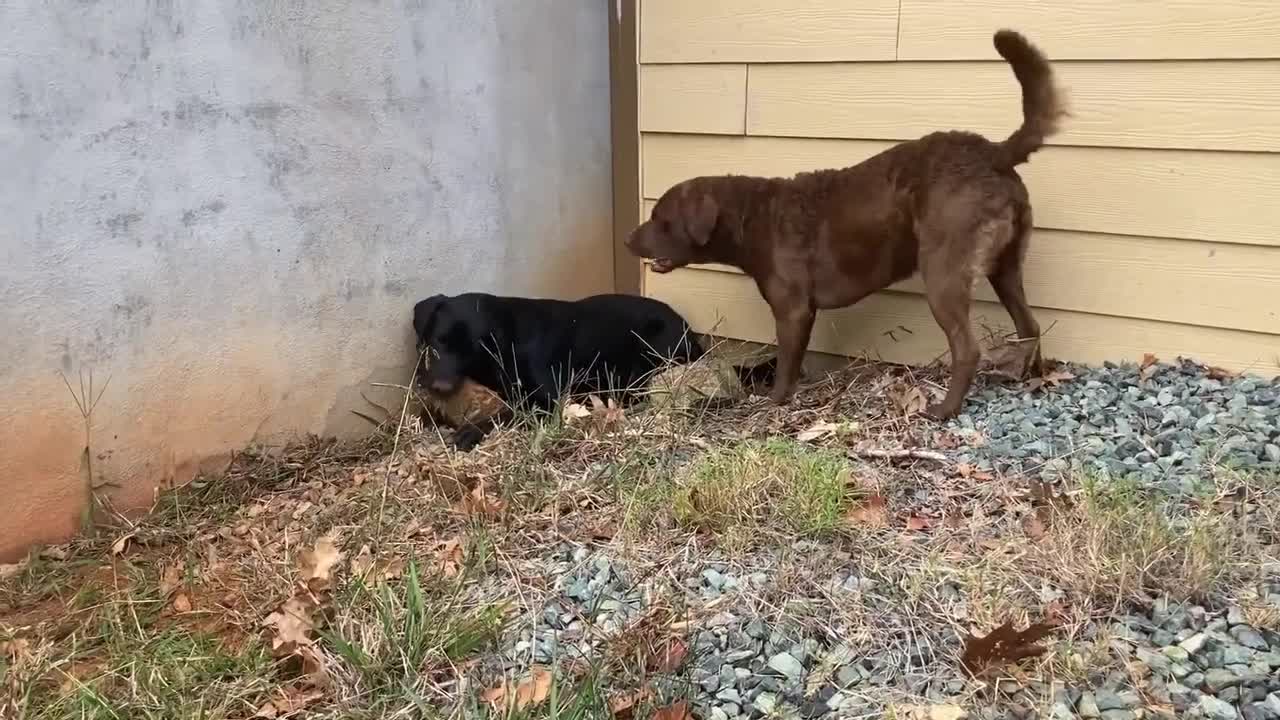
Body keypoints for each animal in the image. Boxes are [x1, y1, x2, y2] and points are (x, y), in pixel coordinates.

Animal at [412, 292, 768, 448]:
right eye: (438, 341)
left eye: (470, 348)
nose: (439, 386)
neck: (508, 338)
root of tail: (692, 335)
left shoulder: (547, 401)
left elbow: (505, 413)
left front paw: (470, 431)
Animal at [624, 29, 1064, 420]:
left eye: (660, 218)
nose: (628, 240)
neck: (754, 218)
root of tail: (993, 154)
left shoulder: (794, 310)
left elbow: (786, 363)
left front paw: (774, 402)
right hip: (1006, 265)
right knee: (1030, 323)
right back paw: (1030, 378)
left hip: (944, 269)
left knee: (967, 347)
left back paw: (945, 409)